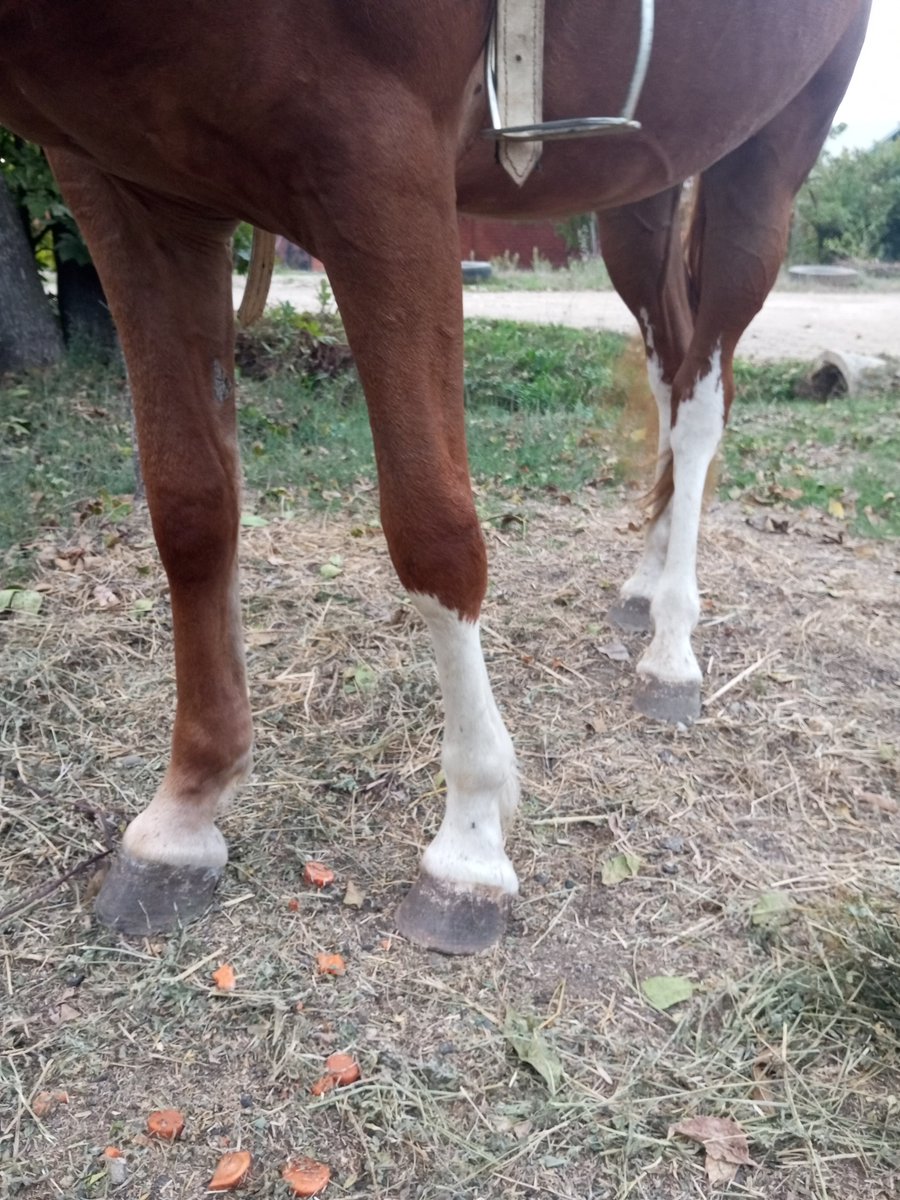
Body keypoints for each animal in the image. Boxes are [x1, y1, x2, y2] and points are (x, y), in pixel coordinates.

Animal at [0, 0, 870, 953]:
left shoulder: (381, 161)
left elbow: (433, 528)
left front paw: (471, 844)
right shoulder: (124, 186)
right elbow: (191, 506)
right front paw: (182, 818)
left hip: (771, 147)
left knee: (703, 397)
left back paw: (672, 648)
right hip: (646, 179)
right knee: (668, 369)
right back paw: (646, 584)